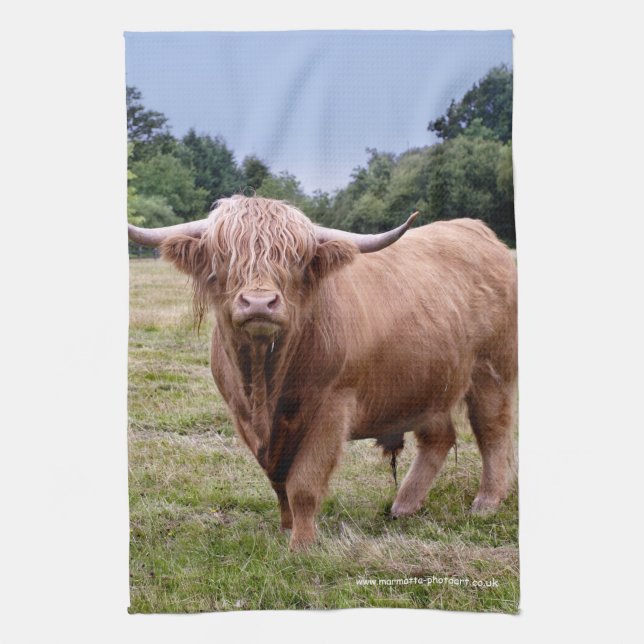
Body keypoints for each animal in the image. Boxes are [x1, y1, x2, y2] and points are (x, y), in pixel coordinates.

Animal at [128, 196, 517, 550]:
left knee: (492, 430)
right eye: (223, 256)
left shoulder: (332, 407)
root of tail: (480, 232)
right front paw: (285, 527)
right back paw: (404, 505)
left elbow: (303, 483)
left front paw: (301, 544)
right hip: (427, 380)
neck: (266, 384)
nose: (259, 303)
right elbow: (278, 480)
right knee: (438, 438)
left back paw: (486, 502)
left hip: (491, 370)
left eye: (295, 259)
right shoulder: (243, 416)